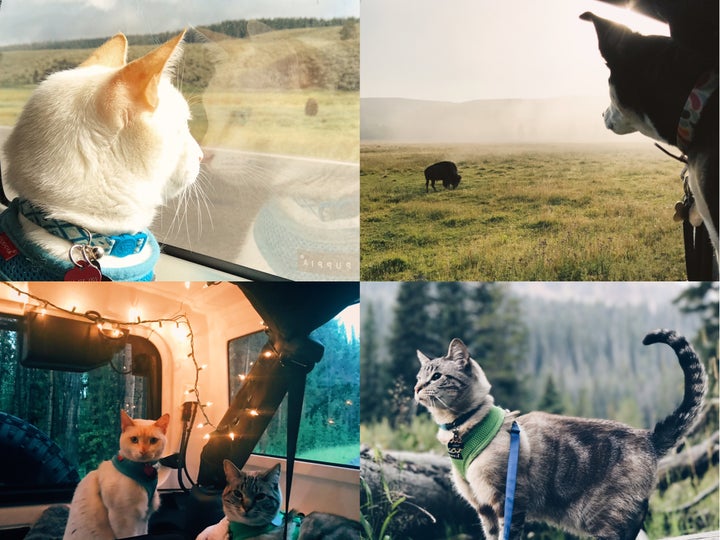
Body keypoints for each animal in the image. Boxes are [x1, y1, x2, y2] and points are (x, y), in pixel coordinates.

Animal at [64, 410, 171, 540]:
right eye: (134, 439)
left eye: (153, 440)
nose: (143, 451)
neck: (144, 472)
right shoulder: (124, 519)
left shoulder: (144, 519)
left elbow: (143, 533)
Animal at [414, 330, 704, 540]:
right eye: (418, 377)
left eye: (437, 377)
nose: (416, 388)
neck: (460, 430)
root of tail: (648, 436)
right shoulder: (483, 507)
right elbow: (491, 536)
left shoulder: (507, 501)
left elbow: (508, 535)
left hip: (606, 521)